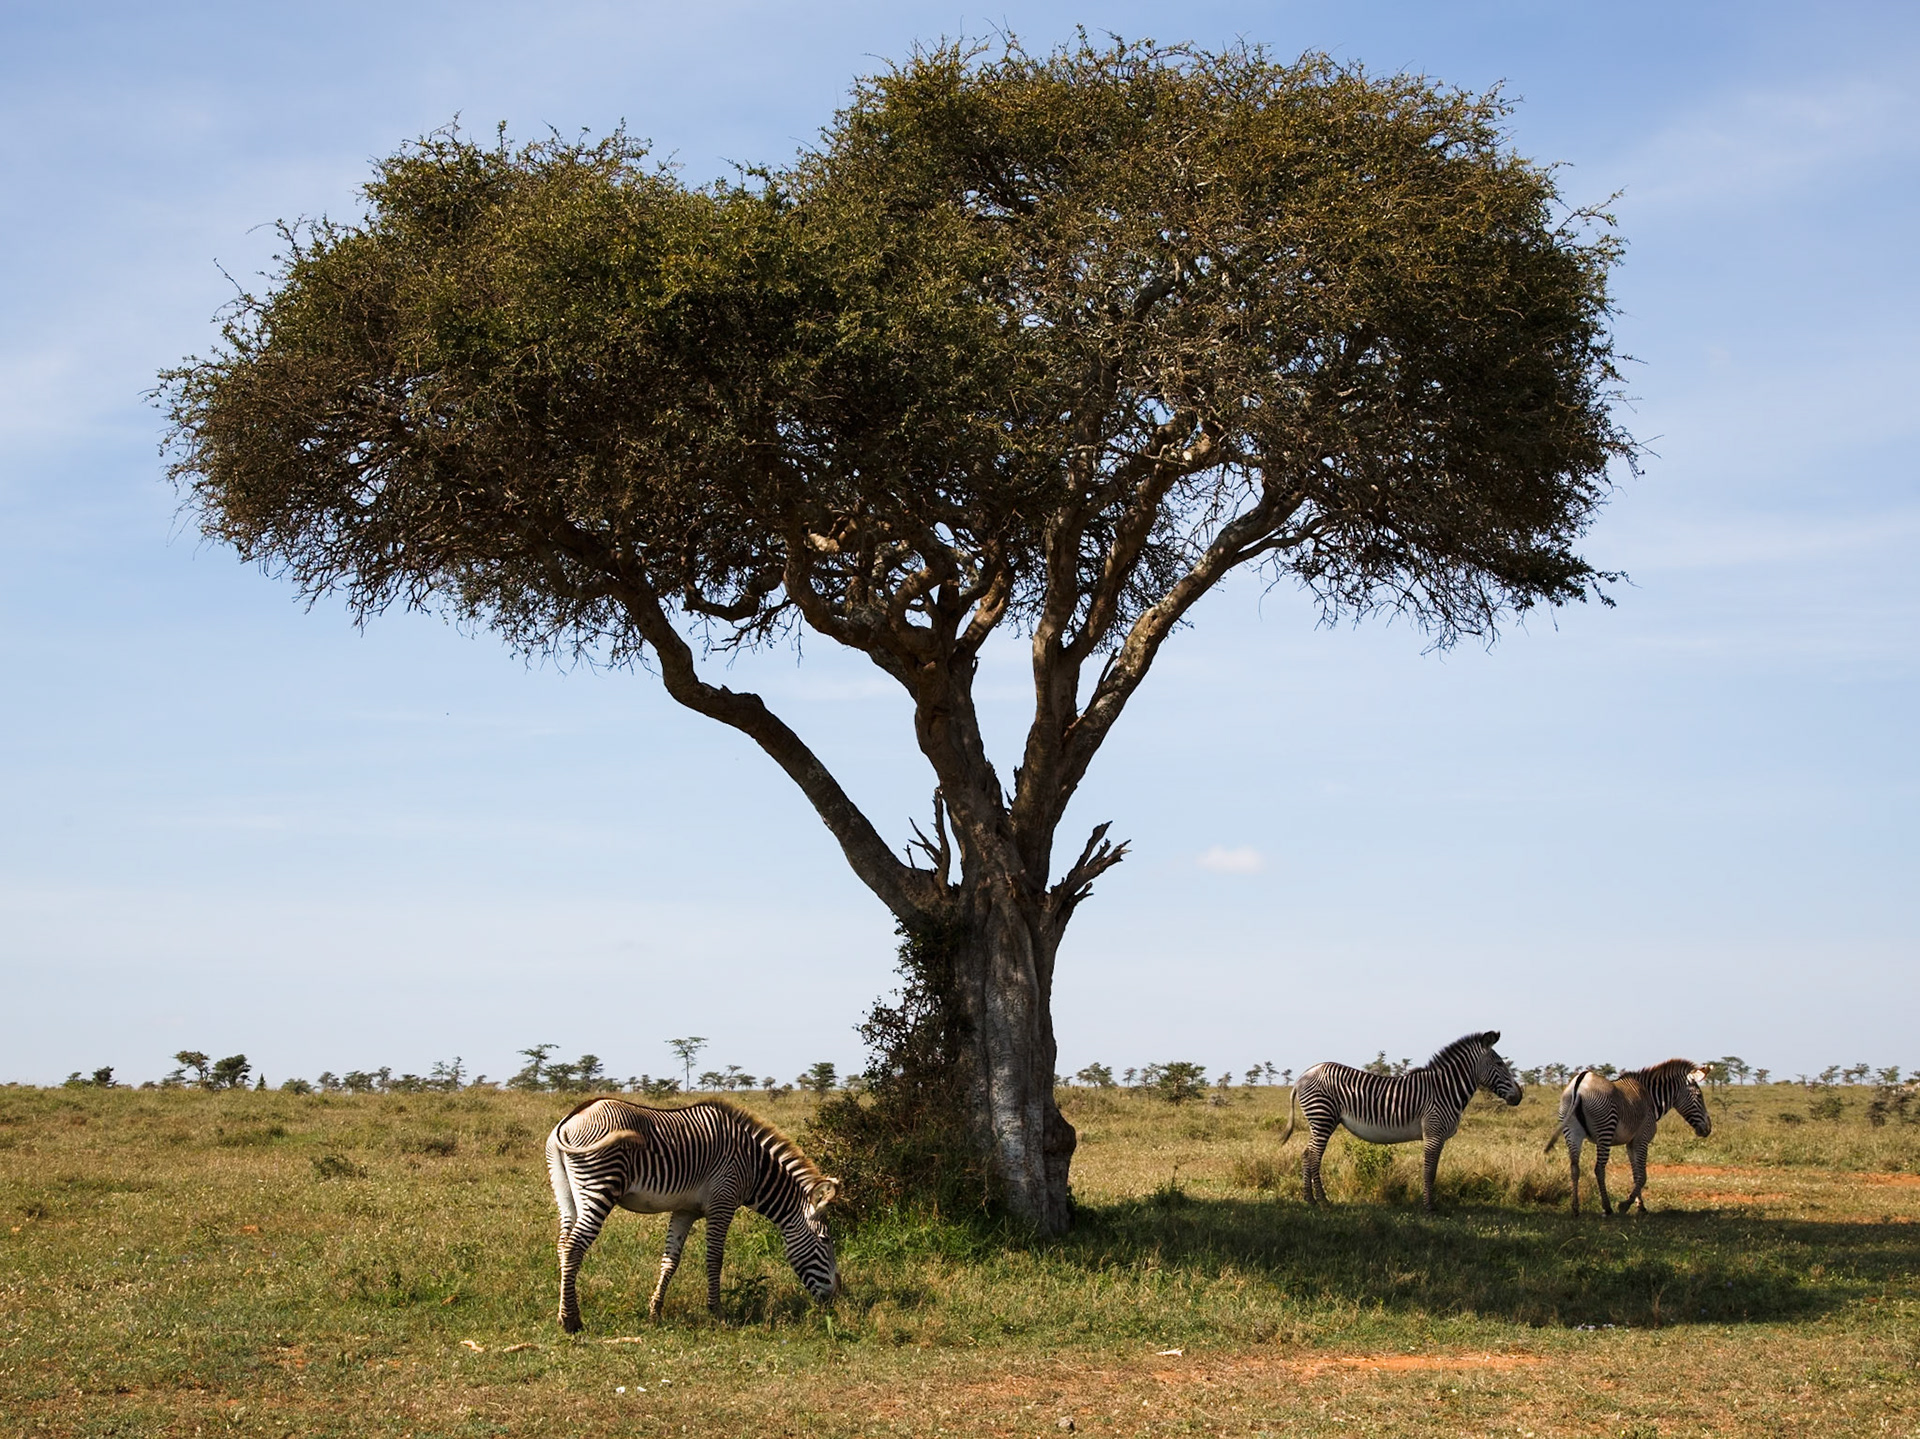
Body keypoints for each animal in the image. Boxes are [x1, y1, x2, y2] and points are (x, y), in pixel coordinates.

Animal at [545, 1096, 839, 1331]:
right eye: (826, 1241)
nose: (835, 1298)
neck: (753, 1167)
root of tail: (572, 1117)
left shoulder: (684, 1210)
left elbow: (670, 1260)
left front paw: (655, 1311)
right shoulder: (723, 1202)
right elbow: (715, 1258)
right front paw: (717, 1312)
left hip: (565, 1192)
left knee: (562, 1244)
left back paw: (563, 1311)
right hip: (600, 1185)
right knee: (574, 1246)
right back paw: (572, 1321)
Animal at [1278, 1031, 1523, 1210]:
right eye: (1499, 1064)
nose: (1519, 1096)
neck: (1444, 1089)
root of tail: (1302, 1076)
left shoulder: (1438, 1136)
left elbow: (1433, 1170)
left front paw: (1429, 1204)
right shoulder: (1433, 1131)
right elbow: (1429, 1171)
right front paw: (1429, 1207)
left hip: (1321, 1120)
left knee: (1307, 1154)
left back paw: (1311, 1199)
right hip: (1322, 1118)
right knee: (1312, 1156)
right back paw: (1320, 1200)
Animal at [1545, 1060, 1711, 1216]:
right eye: (1699, 1096)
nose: (1708, 1129)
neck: (1650, 1098)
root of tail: (1579, 1083)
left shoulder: (1631, 1143)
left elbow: (1636, 1174)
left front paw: (1640, 1206)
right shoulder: (1642, 1139)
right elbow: (1642, 1176)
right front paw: (1625, 1204)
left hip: (1571, 1130)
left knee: (1574, 1167)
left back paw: (1575, 1208)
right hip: (1605, 1129)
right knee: (1599, 1168)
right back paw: (1607, 1208)